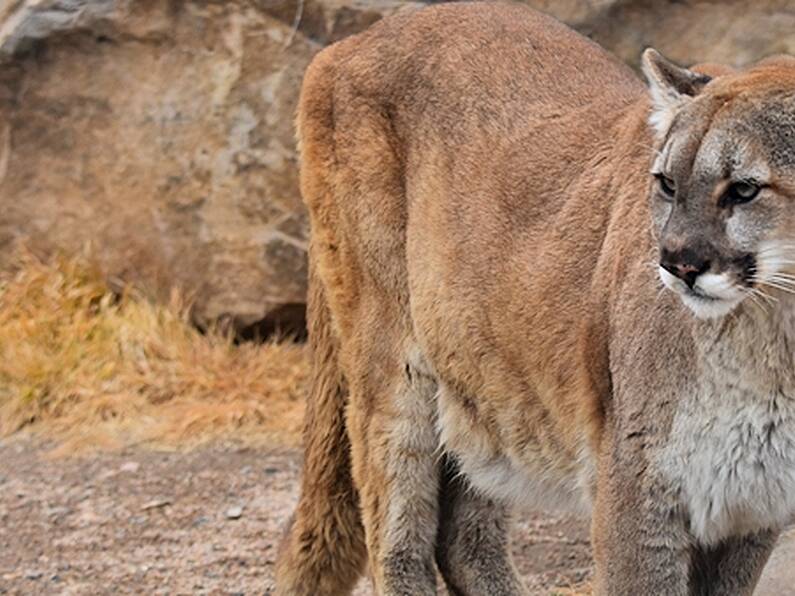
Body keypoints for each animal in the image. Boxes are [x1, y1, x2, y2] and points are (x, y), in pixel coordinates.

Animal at [276, 2, 795, 592]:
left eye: (744, 189)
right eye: (666, 183)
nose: (675, 263)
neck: (780, 337)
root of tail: (351, 42)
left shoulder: (751, 507)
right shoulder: (639, 488)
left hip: (487, 373)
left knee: (462, 534)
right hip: (391, 368)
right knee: (395, 532)